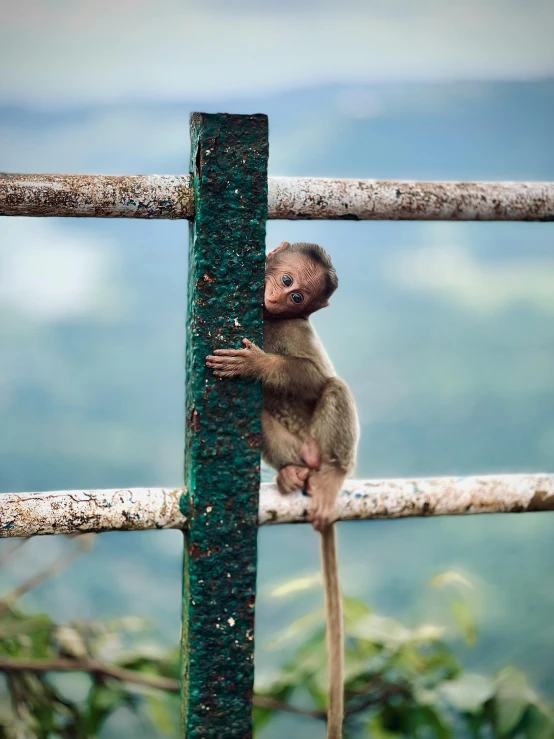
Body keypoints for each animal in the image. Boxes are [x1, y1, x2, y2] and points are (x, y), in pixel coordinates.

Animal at [205, 243, 356, 739]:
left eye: (297, 298)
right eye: (287, 280)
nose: (275, 295)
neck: (269, 320)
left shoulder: (296, 330)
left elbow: (310, 376)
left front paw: (259, 365)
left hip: (323, 442)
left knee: (334, 386)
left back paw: (330, 476)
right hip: (289, 443)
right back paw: (291, 474)